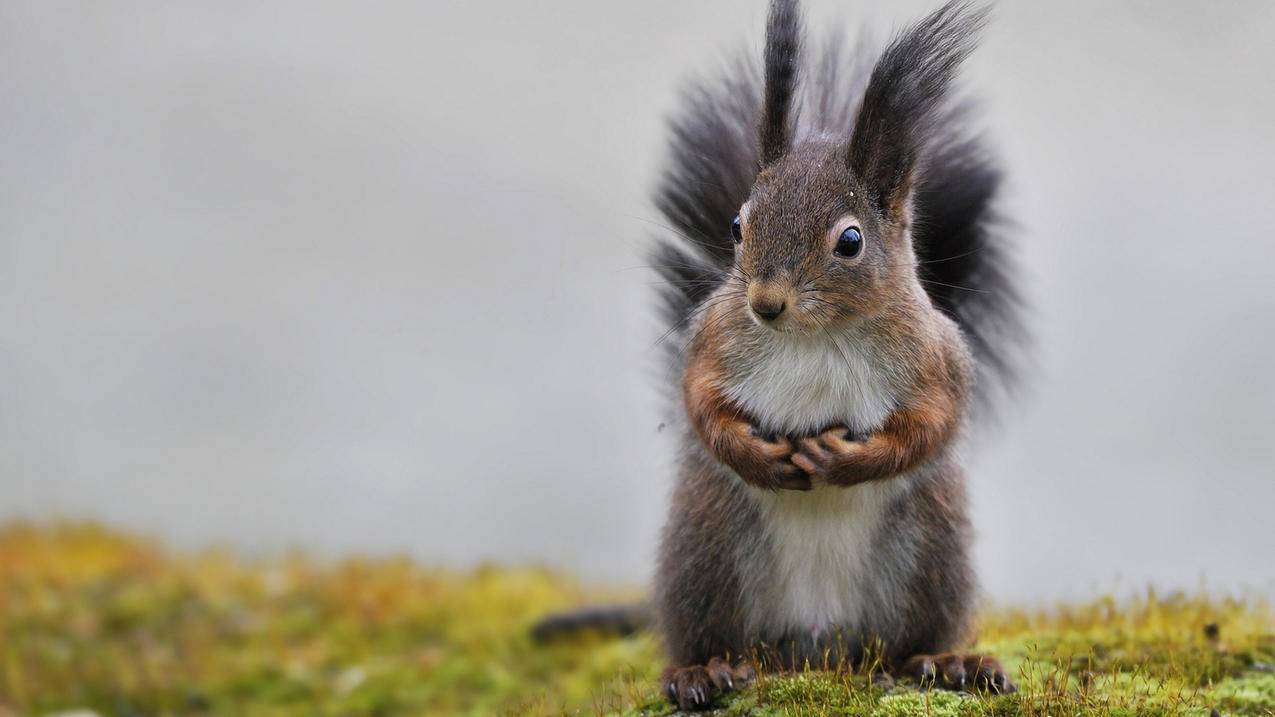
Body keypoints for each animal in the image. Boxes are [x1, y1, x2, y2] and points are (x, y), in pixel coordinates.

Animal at [532, 0, 1020, 704]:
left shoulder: (935, 360)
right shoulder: (713, 341)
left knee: (908, 640)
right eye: (739, 225)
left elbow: (932, 425)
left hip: (930, 551)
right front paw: (754, 455)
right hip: (708, 550)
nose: (765, 303)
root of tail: (817, 646)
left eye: (850, 241)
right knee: (711, 634)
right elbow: (700, 402)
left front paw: (847, 460)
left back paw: (945, 662)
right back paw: (703, 671)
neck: (815, 335)